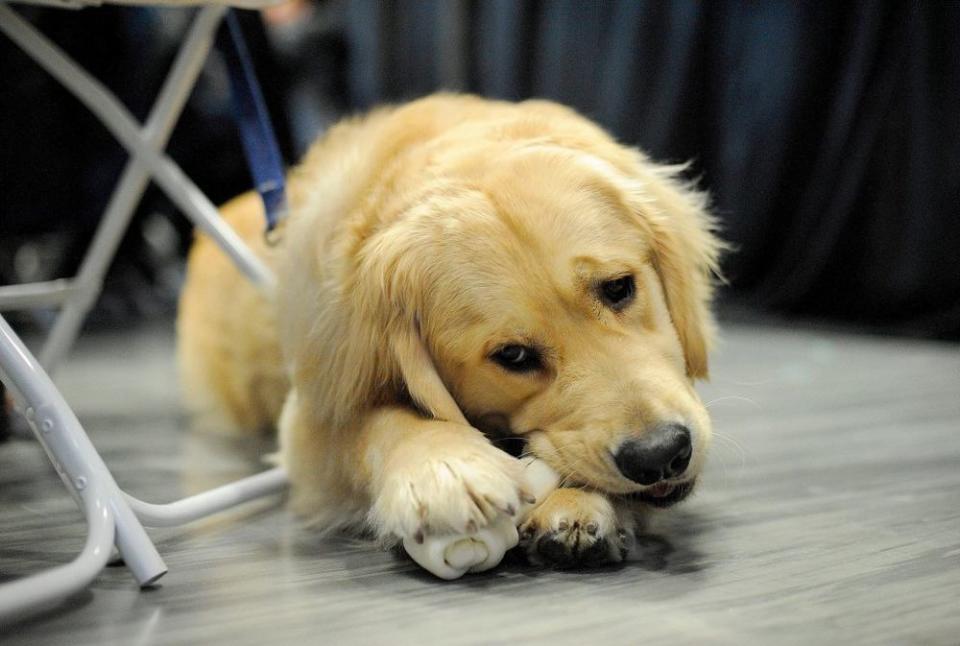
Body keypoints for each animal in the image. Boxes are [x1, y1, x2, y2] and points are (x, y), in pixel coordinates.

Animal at [178, 95, 720, 568]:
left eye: (618, 287)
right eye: (513, 356)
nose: (661, 455)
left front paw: (578, 505)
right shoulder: (312, 421)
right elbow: (375, 422)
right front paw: (445, 470)